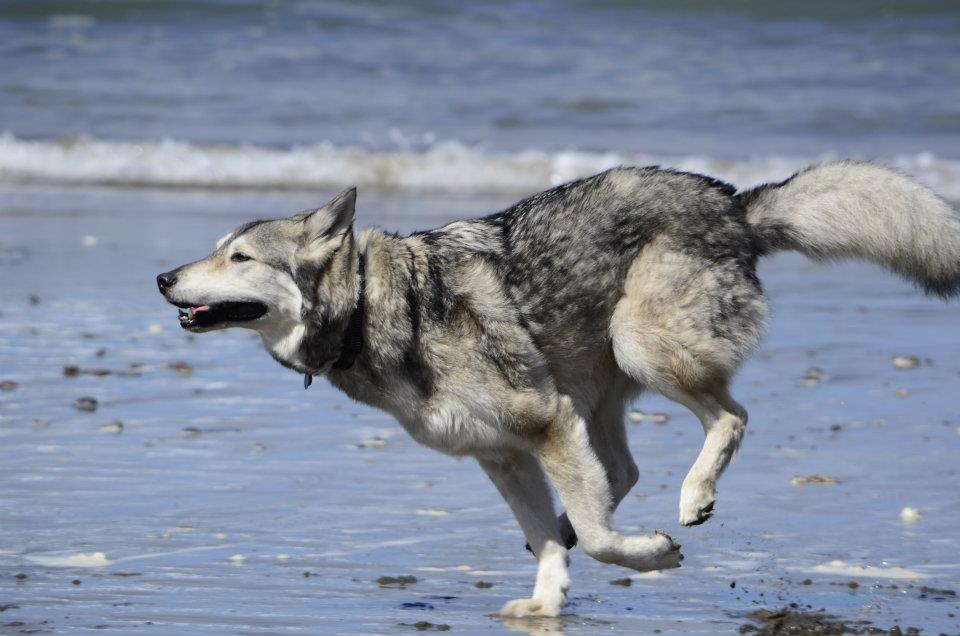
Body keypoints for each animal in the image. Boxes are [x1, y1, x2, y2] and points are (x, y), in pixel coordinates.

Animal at [157, 161, 960, 618]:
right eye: (217, 250)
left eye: (239, 257)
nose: (163, 277)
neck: (384, 309)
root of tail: (735, 202)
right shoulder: (505, 454)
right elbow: (548, 536)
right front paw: (548, 602)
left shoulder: (541, 424)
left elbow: (602, 540)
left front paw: (651, 556)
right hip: (594, 391)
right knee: (621, 471)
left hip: (639, 350)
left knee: (729, 416)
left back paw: (693, 497)